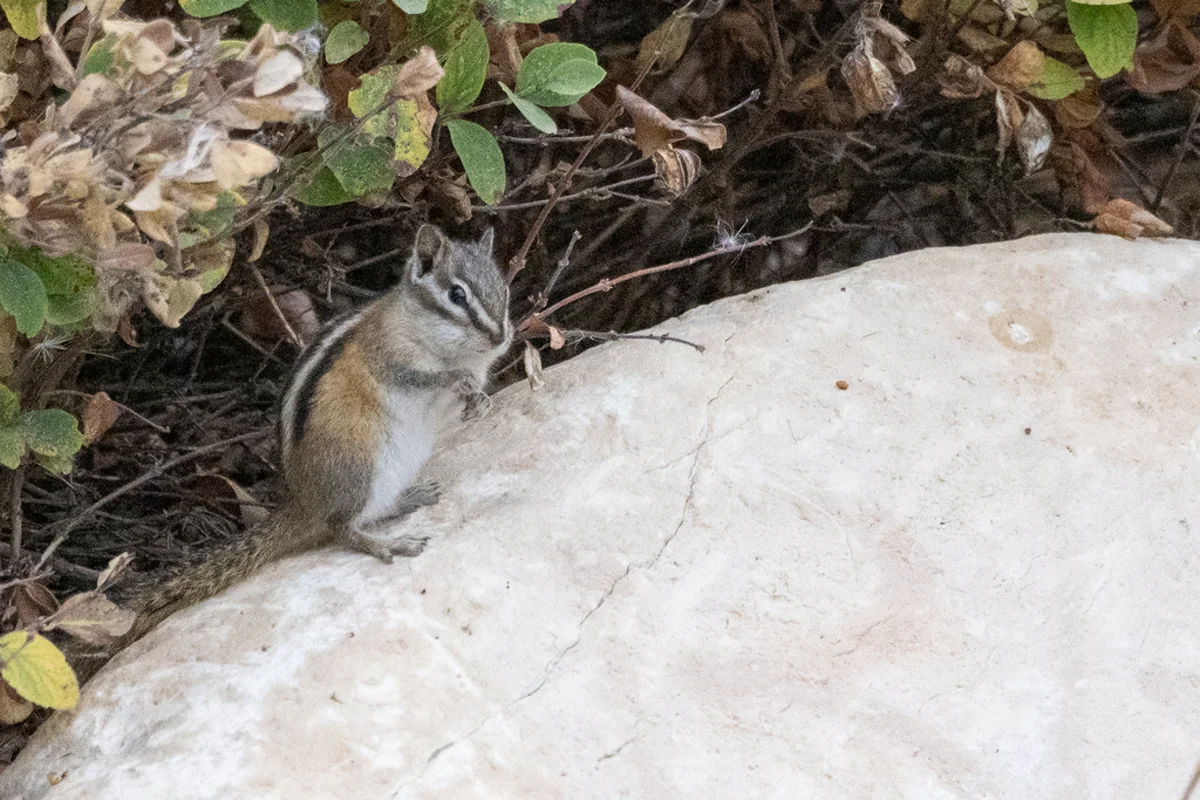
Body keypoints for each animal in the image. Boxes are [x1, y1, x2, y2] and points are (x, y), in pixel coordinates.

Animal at [123, 224, 512, 643]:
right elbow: (423, 377)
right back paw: (387, 544)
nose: (500, 338)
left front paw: (479, 401)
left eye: (503, 286)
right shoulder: (391, 356)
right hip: (359, 467)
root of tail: (303, 502)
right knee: (340, 529)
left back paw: (410, 498)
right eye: (456, 295)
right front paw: (454, 379)